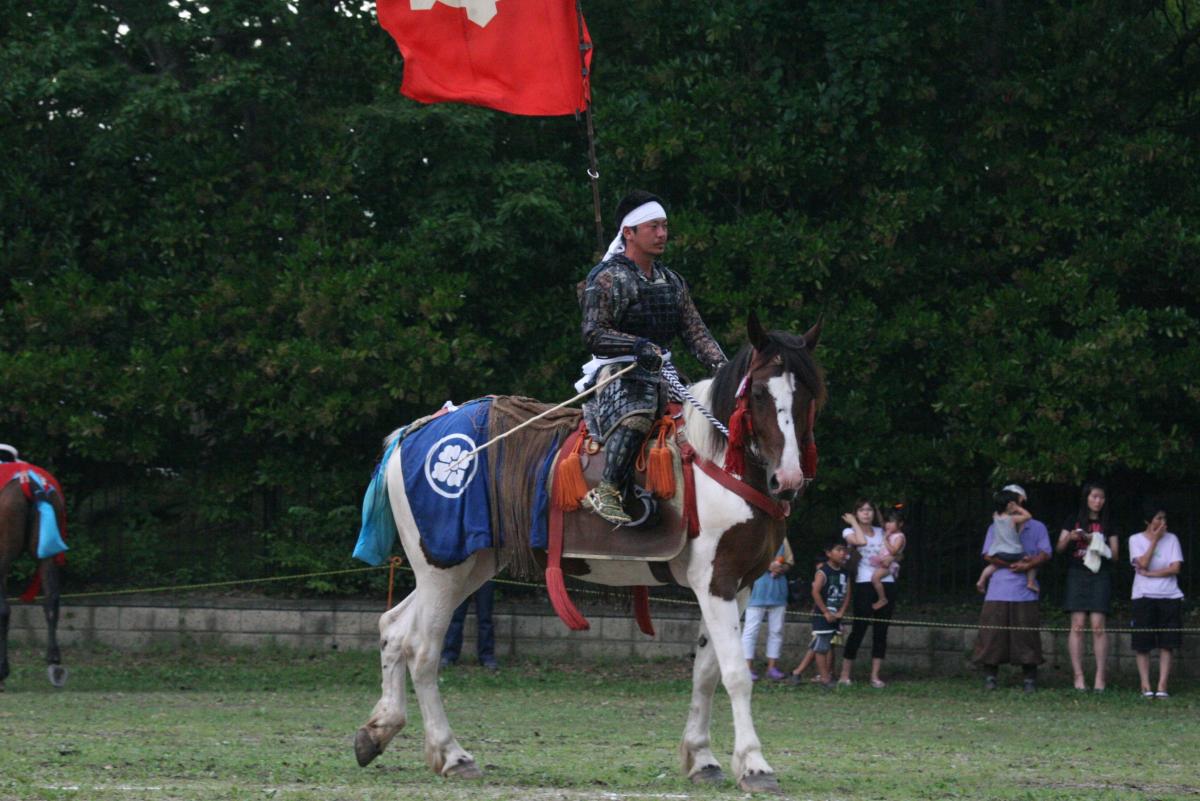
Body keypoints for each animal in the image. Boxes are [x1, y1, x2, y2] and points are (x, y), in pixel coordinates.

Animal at [350, 311, 825, 786]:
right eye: (760, 393)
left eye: (807, 394)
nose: (788, 479)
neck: (719, 459)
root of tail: (412, 433)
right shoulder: (716, 581)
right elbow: (736, 674)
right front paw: (755, 764)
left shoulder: (739, 584)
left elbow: (706, 671)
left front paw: (702, 758)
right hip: (443, 567)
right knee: (421, 649)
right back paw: (451, 753)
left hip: (466, 566)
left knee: (394, 628)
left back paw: (377, 732)